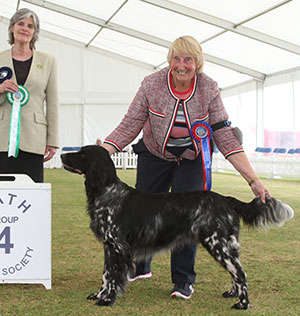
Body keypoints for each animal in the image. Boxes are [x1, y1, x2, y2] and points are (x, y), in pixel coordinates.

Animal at [60, 147, 292, 310]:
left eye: (82, 153)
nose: (62, 155)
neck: (107, 192)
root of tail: (225, 199)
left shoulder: (118, 247)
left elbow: (114, 277)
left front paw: (107, 300)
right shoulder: (109, 247)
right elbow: (106, 275)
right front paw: (99, 295)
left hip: (217, 244)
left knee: (240, 273)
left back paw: (243, 304)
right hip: (226, 245)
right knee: (236, 271)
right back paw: (233, 293)